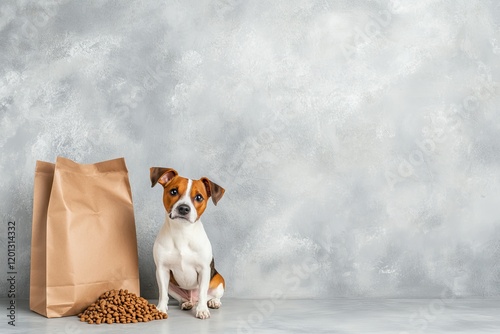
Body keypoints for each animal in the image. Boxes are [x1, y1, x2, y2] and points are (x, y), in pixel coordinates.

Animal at [149, 168, 226, 320]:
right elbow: (163, 294)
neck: (182, 232)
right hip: (172, 285)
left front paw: (202, 310)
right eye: (173, 191)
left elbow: (202, 293)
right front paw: (161, 309)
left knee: (209, 296)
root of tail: (192, 298)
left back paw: (213, 302)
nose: (184, 208)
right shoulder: (162, 270)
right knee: (181, 298)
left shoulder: (204, 270)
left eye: (199, 197)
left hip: (219, 280)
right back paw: (186, 303)